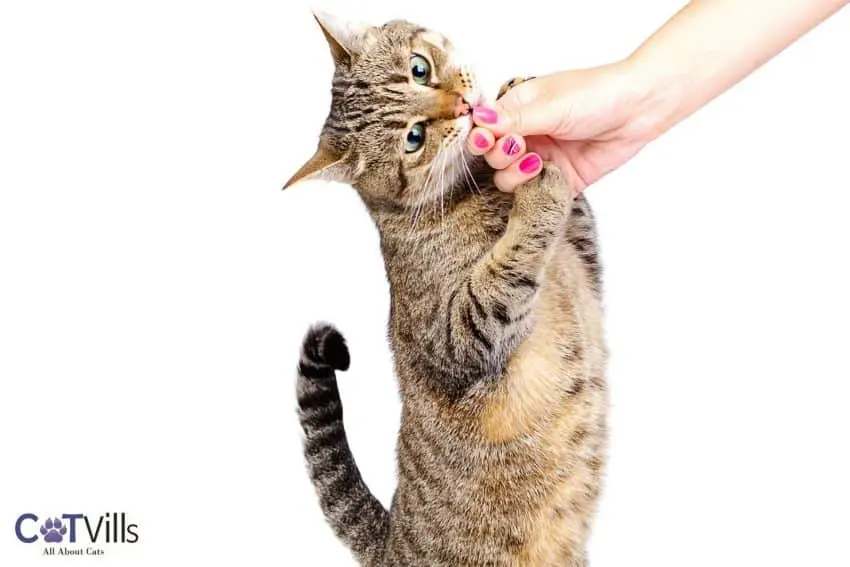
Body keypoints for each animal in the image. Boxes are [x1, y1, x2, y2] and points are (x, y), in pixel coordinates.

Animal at [288, 10, 608, 567]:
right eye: (414, 138)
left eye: (420, 68)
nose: (463, 105)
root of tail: (390, 541)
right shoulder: (458, 337)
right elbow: (510, 263)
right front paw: (536, 190)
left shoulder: (586, 260)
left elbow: (572, 210)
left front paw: (517, 96)